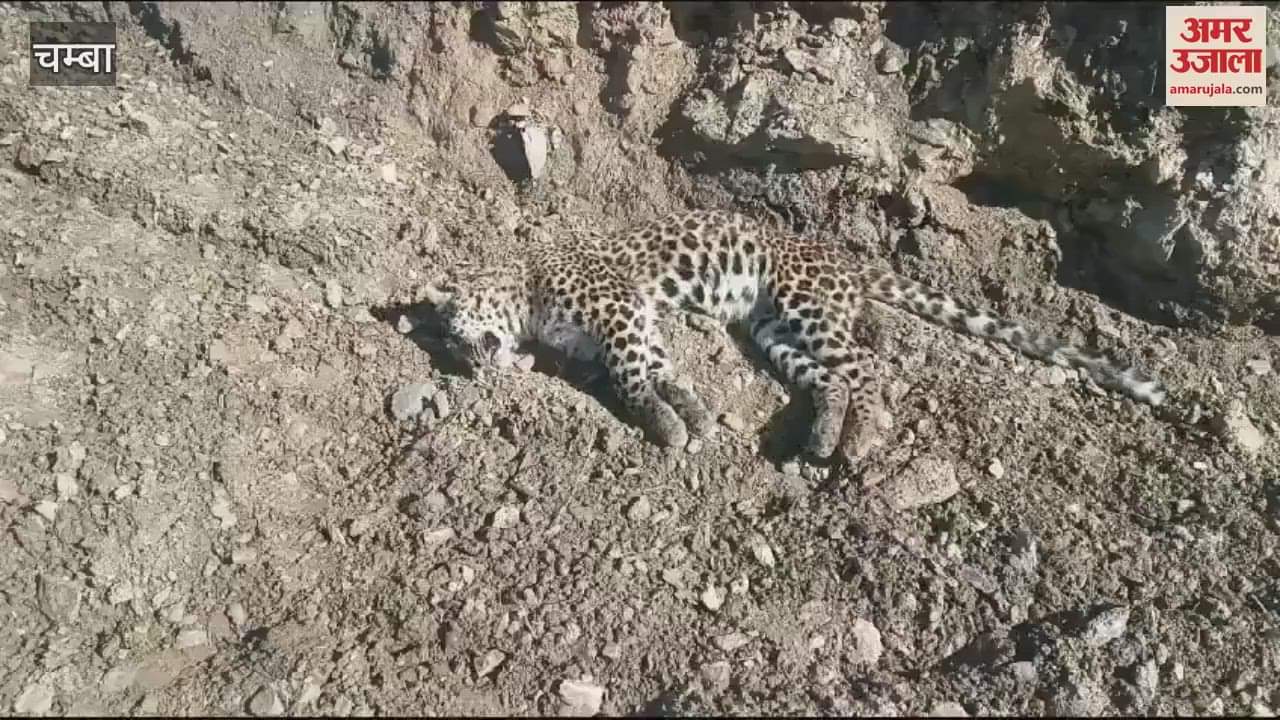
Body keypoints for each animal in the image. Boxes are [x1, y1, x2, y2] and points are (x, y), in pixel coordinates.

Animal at [420, 208, 1167, 463]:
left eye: (452, 334)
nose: (464, 364)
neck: (525, 291)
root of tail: (842, 258)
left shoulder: (619, 312)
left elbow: (632, 379)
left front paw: (666, 423)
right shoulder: (635, 325)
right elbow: (656, 370)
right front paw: (690, 414)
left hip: (806, 306)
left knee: (868, 368)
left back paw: (858, 441)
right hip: (773, 330)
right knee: (834, 378)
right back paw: (822, 437)